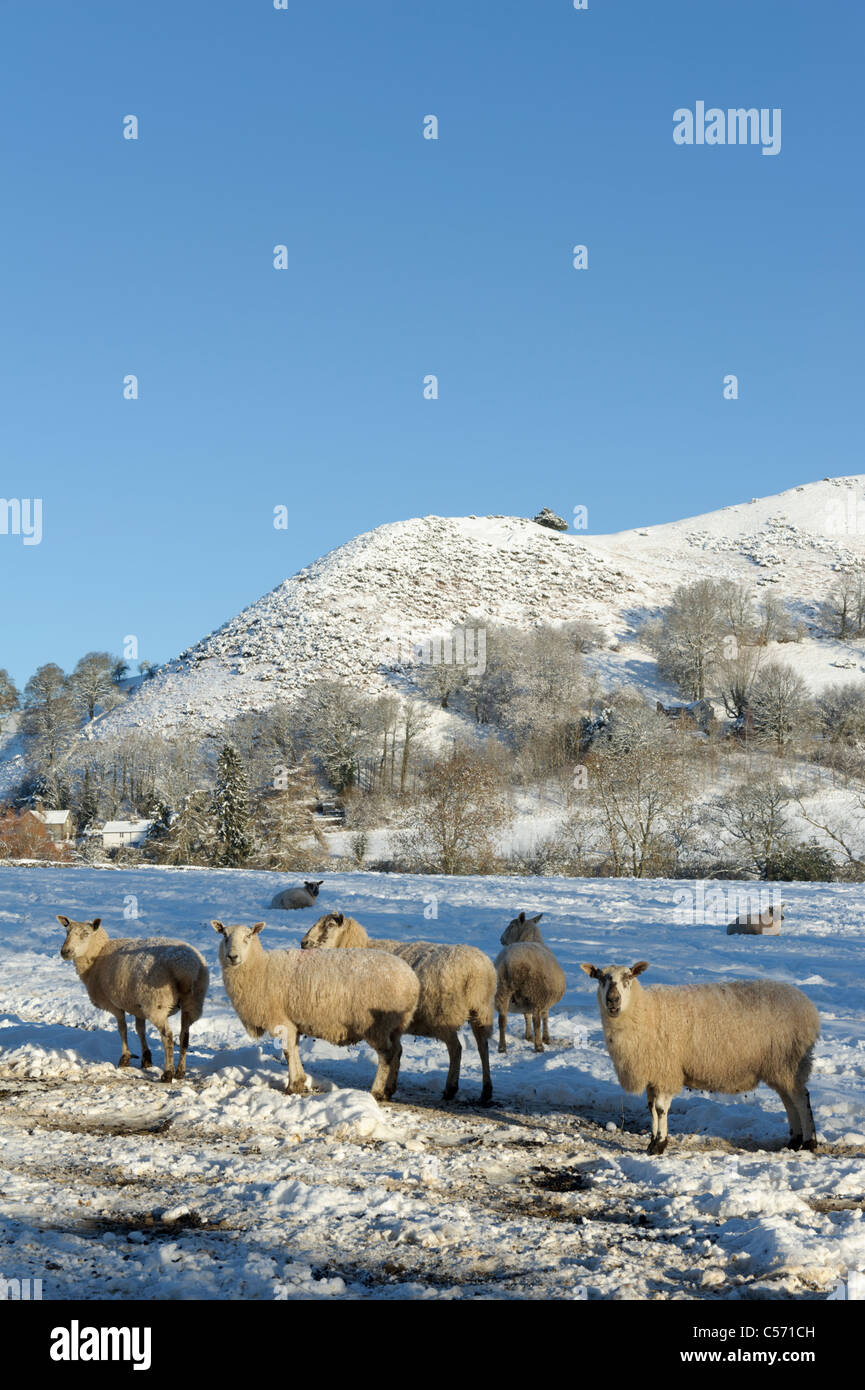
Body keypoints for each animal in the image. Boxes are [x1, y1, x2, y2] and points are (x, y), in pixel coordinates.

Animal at [58, 911, 208, 1084]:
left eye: (86, 933)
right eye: (67, 932)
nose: (65, 952)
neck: (96, 957)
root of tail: (185, 966)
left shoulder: (114, 1005)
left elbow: (122, 1029)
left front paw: (124, 1059)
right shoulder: (138, 1006)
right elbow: (140, 1030)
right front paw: (146, 1059)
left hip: (157, 1003)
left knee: (168, 1037)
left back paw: (168, 1074)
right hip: (193, 1001)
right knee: (184, 1036)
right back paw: (180, 1072)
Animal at [215, 917, 422, 1100]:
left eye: (248, 936)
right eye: (224, 935)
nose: (232, 957)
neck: (260, 967)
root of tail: (412, 980)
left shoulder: (281, 1020)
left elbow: (288, 1051)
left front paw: (293, 1085)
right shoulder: (292, 1022)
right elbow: (293, 1049)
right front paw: (299, 1081)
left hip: (377, 1025)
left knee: (386, 1055)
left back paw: (377, 1092)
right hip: (395, 1026)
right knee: (397, 1051)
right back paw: (389, 1089)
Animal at [303, 911, 495, 1106]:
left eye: (330, 925)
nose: (304, 943)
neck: (356, 946)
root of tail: (477, 971)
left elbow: (394, 1052)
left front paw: (384, 1090)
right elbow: (398, 1052)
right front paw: (389, 1089)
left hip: (445, 1016)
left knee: (456, 1050)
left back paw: (451, 1089)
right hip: (481, 1011)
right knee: (483, 1047)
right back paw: (486, 1091)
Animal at [495, 917, 570, 1056]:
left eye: (512, 926)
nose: (501, 939)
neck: (530, 937)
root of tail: (513, 962)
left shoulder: (526, 1001)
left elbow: (526, 1015)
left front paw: (528, 1036)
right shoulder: (544, 998)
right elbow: (544, 1017)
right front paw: (545, 1038)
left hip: (502, 990)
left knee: (502, 1020)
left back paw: (502, 1047)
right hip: (535, 991)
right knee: (536, 1021)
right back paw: (539, 1046)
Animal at [584, 961, 817, 1156]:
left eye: (628, 978)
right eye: (600, 979)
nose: (612, 1000)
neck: (645, 1012)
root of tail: (807, 1005)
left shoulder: (667, 1070)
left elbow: (660, 1109)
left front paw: (659, 1144)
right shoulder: (655, 1073)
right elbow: (650, 1108)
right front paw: (651, 1143)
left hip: (790, 1062)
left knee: (800, 1098)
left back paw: (809, 1142)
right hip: (778, 1067)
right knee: (789, 1100)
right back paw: (794, 1142)